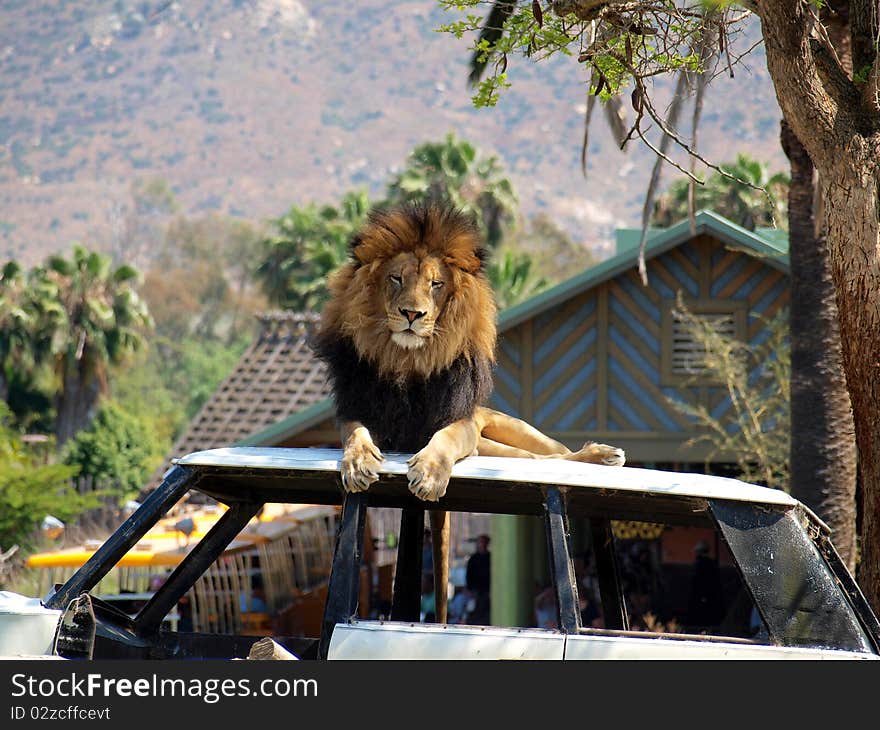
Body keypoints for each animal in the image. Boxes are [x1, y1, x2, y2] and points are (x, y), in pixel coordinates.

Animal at [312, 203, 624, 620]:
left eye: (435, 284)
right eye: (396, 278)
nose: (411, 314)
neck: (408, 360)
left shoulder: (458, 423)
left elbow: (442, 441)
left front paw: (429, 474)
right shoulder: (356, 409)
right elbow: (356, 435)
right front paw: (359, 462)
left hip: (509, 434)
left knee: (554, 455)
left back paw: (603, 455)